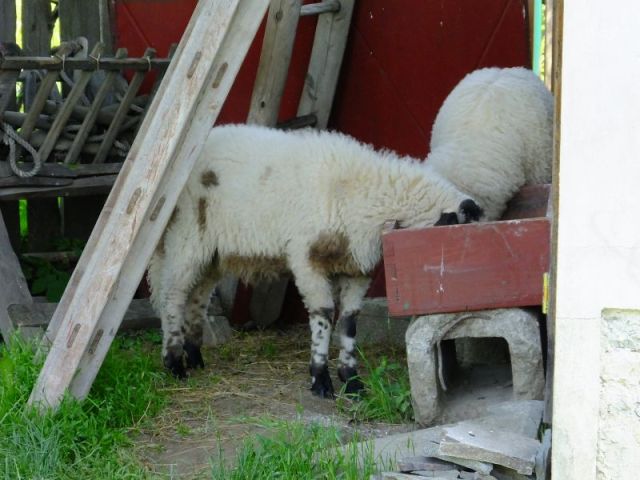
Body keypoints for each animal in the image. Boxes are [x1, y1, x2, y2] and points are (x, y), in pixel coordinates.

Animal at [148, 124, 482, 397]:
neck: (364, 195)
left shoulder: (356, 267)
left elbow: (349, 322)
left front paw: (352, 381)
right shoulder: (306, 258)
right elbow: (323, 315)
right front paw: (320, 380)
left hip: (213, 253)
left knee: (197, 297)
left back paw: (195, 356)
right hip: (187, 235)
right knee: (172, 296)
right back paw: (174, 363)